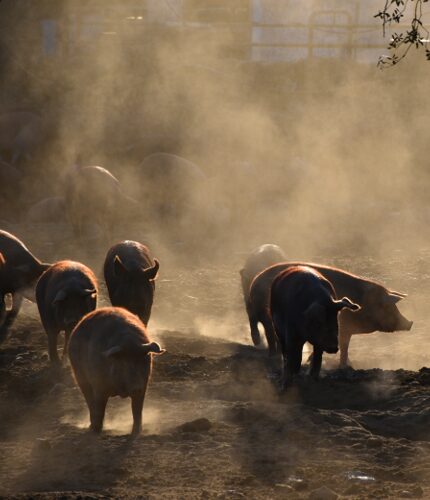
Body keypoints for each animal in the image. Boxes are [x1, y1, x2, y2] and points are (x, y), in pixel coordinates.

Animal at [69, 304, 165, 434]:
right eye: (124, 362)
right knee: (89, 400)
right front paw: (96, 430)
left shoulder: (144, 385)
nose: (136, 387)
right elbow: (99, 408)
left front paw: (136, 432)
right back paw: (91, 426)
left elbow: (137, 411)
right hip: (80, 376)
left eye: (143, 360)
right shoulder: (99, 385)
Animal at [247, 262, 412, 368]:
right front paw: (345, 366)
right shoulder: (344, 328)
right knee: (266, 332)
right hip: (264, 315)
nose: (410, 323)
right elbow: (344, 347)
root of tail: (255, 281)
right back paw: (271, 355)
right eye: (389, 307)